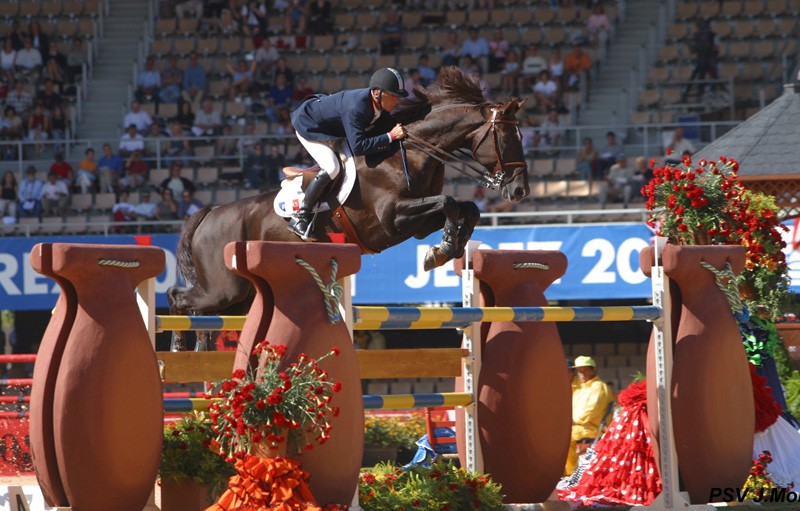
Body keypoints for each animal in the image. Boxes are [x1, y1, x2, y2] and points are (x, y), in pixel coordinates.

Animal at [168, 68, 528, 348]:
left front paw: (446, 248)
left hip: (240, 296)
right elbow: (450, 202)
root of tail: (211, 212)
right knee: (178, 297)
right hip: (223, 288)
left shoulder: (418, 224)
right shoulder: (394, 219)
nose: (520, 190)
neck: (409, 153)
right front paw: (441, 251)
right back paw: (177, 346)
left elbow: (466, 208)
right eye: (507, 137)